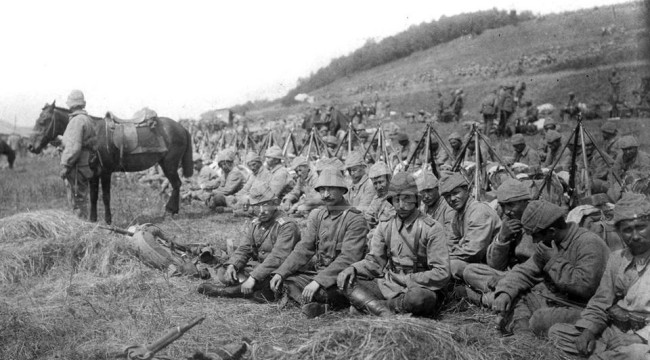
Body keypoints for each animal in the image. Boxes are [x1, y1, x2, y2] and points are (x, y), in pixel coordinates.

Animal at [28, 102, 192, 225]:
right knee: (176, 184)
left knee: (176, 184)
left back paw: (171, 211)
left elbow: (106, 197)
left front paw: (108, 220)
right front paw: (93, 219)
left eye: (43, 121)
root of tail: (182, 128)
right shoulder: (93, 174)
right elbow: (93, 197)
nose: (30, 146)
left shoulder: (106, 173)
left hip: (170, 165)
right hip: (165, 164)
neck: (94, 133)